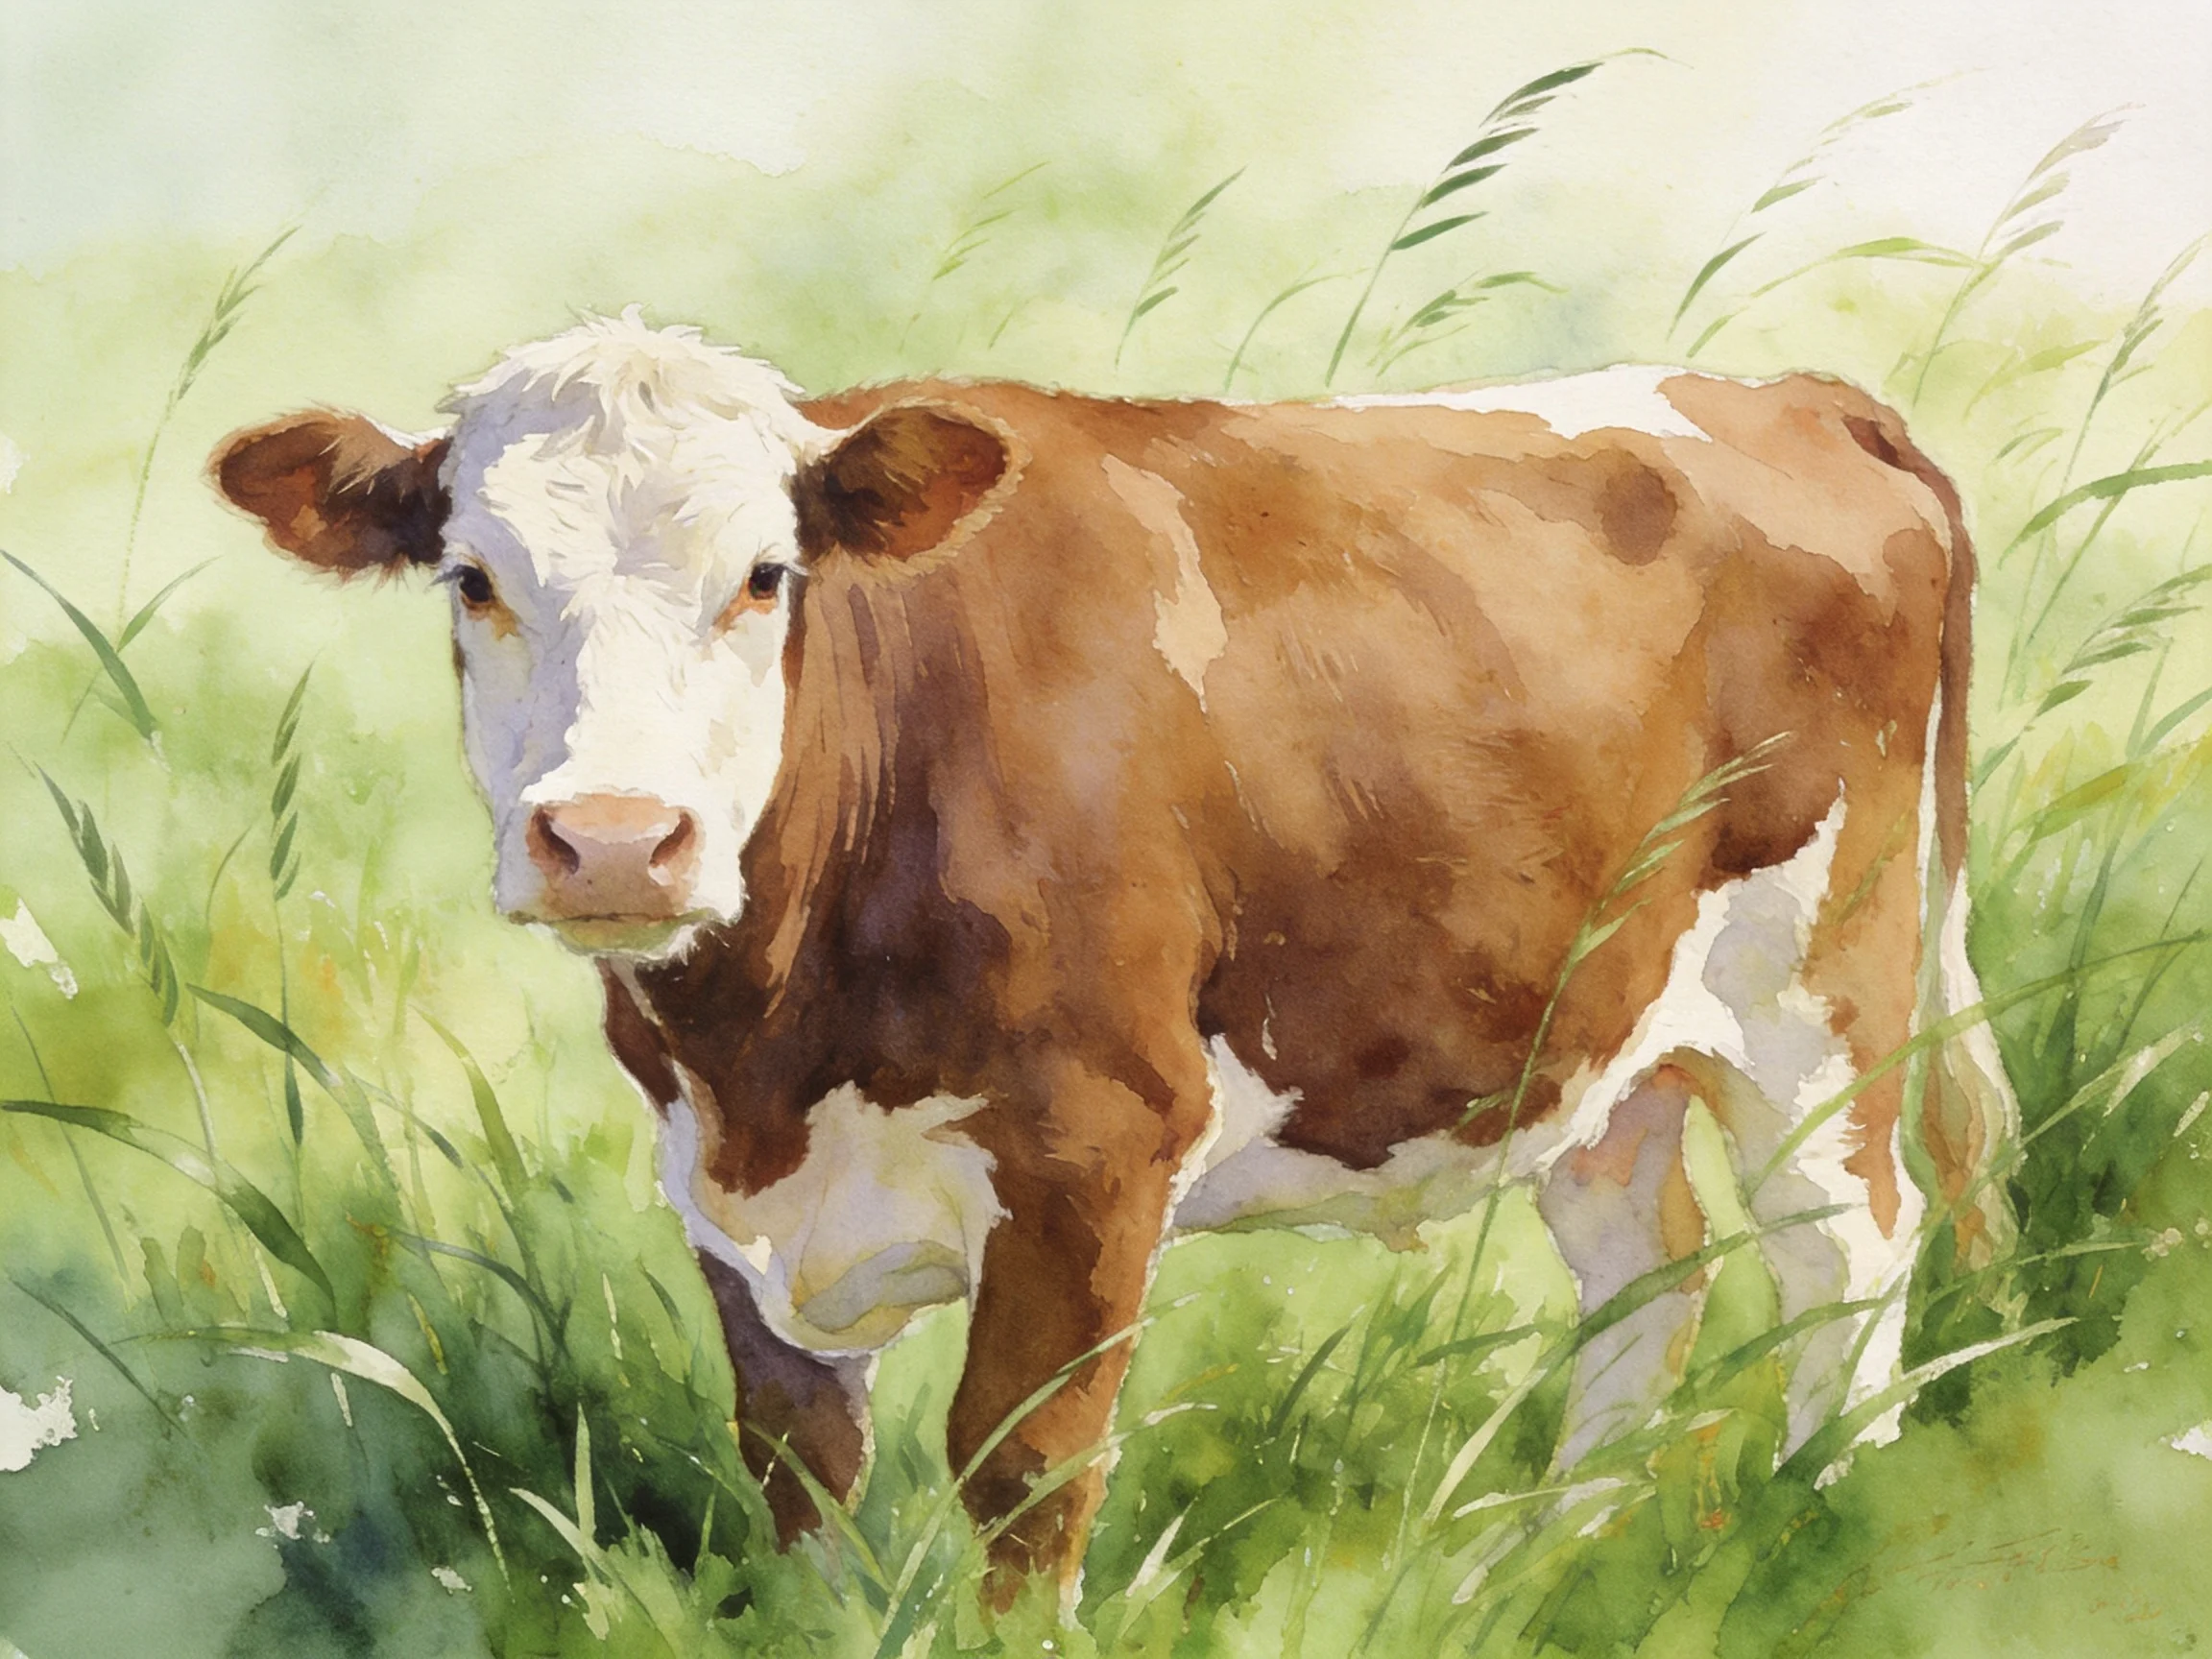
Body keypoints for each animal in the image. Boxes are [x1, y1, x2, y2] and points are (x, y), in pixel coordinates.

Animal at [210, 312, 2017, 1604]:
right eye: (472, 580)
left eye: (764, 576)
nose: (608, 838)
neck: (771, 1052)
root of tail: (1790, 393)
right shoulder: (720, 1190)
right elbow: (799, 1477)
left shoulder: (1095, 1142)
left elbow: (1020, 1470)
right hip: (1583, 1024)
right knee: (1648, 1265)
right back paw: (1540, 1554)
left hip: (1824, 986)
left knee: (1844, 1251)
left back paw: (1815, 1533)